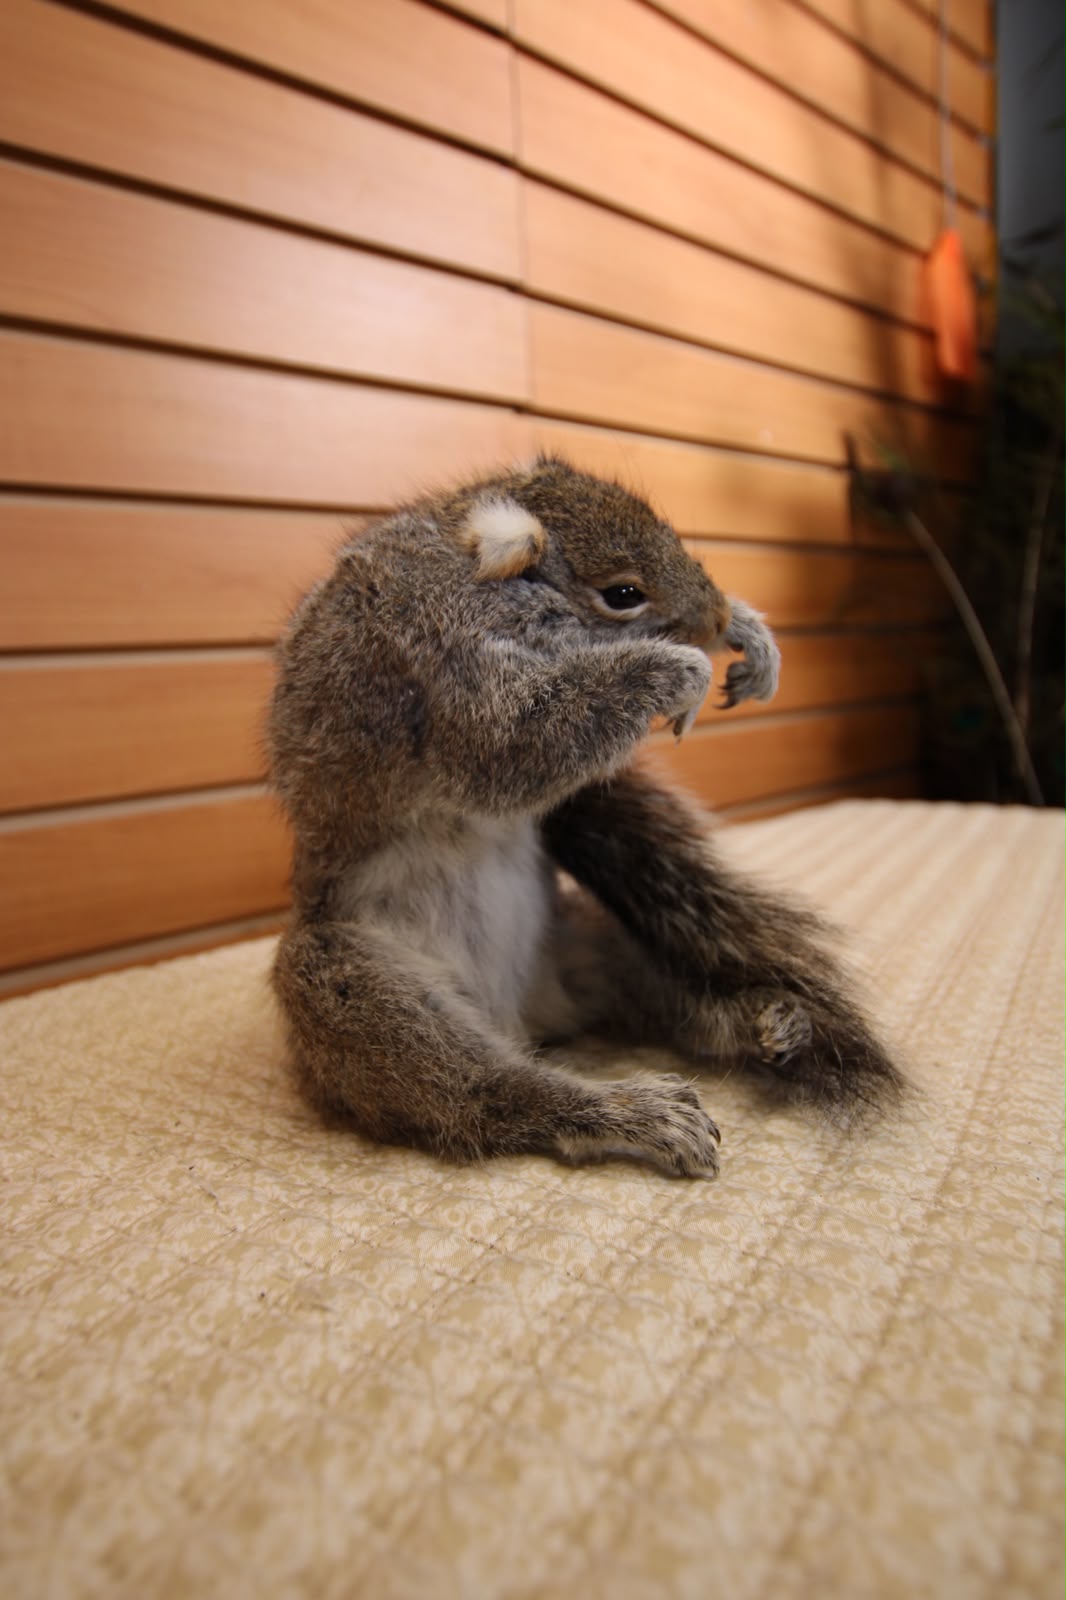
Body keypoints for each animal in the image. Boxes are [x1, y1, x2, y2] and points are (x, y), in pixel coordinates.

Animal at [269, 456, 902, 1177]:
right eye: (623, 593)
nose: (715, 617)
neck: (471, 570)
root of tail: (518, 1017)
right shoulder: (435, 656)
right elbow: (511, 744)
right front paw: (680, 668)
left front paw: (750, 632)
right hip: (354, 988)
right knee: (486, 1094)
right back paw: (629, 1111)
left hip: (590, 941)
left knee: (654, 998)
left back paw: (757, 1022)